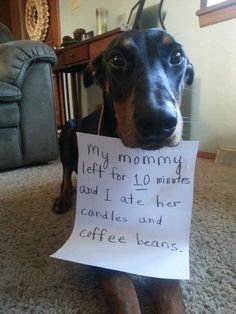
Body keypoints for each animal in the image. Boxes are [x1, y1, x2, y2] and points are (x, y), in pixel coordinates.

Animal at [53, 28, 194, 312]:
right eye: (117, 60)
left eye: (177, 56)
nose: (159, 121)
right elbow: (126, 298)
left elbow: (169, 295)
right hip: (69, 130)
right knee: (65, 172)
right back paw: (64, 197)